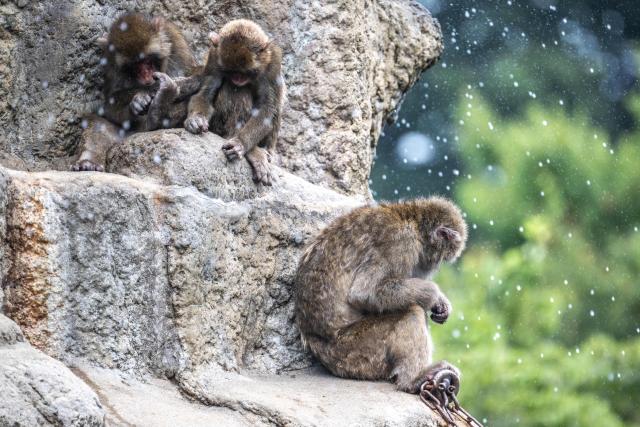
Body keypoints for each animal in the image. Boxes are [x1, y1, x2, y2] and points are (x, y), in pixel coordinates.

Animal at [72, 13, 201, 172]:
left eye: (147, 61)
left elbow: (197, 77)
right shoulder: (110, 64)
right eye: (135, 66)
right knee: (99, 123)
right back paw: (88, 163)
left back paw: (159, 108)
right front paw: (141, 98)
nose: (146, 75)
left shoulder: (176, 44)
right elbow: (109, 105)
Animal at [183, 19, 285, 186]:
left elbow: (267, 108)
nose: (238, 78)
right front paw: (196, 119)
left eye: (245, 72)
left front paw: (241, 143)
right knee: (234, 89)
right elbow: (205, 93)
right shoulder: (214, 55)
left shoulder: (273, 63)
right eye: (231, 71)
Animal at [294, 197, 468, 396]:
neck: (412, 220)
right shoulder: (400, 241)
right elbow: (364, 293)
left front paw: (441, 304)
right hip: (354, 351)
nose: (435, 266)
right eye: (441, 257)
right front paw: (433, 293)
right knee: (411, 311)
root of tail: (313, 340)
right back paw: (412, 380)